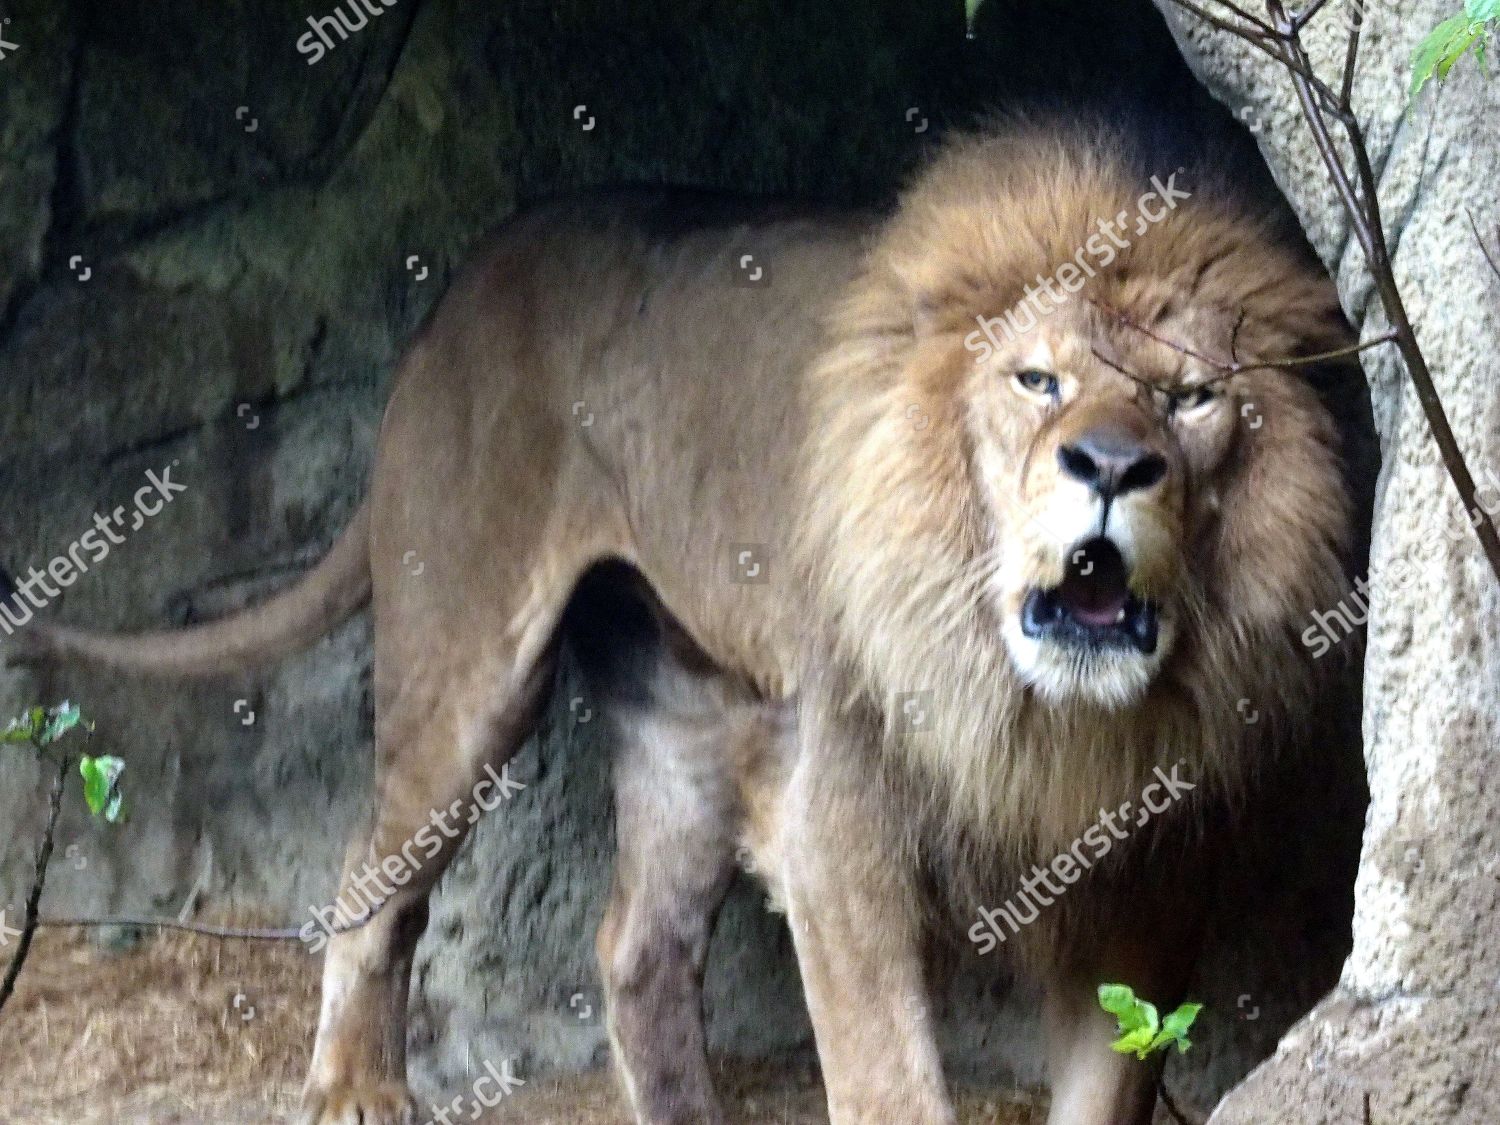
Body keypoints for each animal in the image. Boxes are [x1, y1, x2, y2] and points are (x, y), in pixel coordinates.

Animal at [5, 117, 1356, 1125]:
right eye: (1039, 381)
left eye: (1192, 400)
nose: (1112, 466)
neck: (1043, 711)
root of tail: (463, 280)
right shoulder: (838, 828)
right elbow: (889, 1079)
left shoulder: (1151, 885)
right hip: (469, 669)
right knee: (371, 875)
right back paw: (355, 1091)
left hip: (689, 713)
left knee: (633, 945)